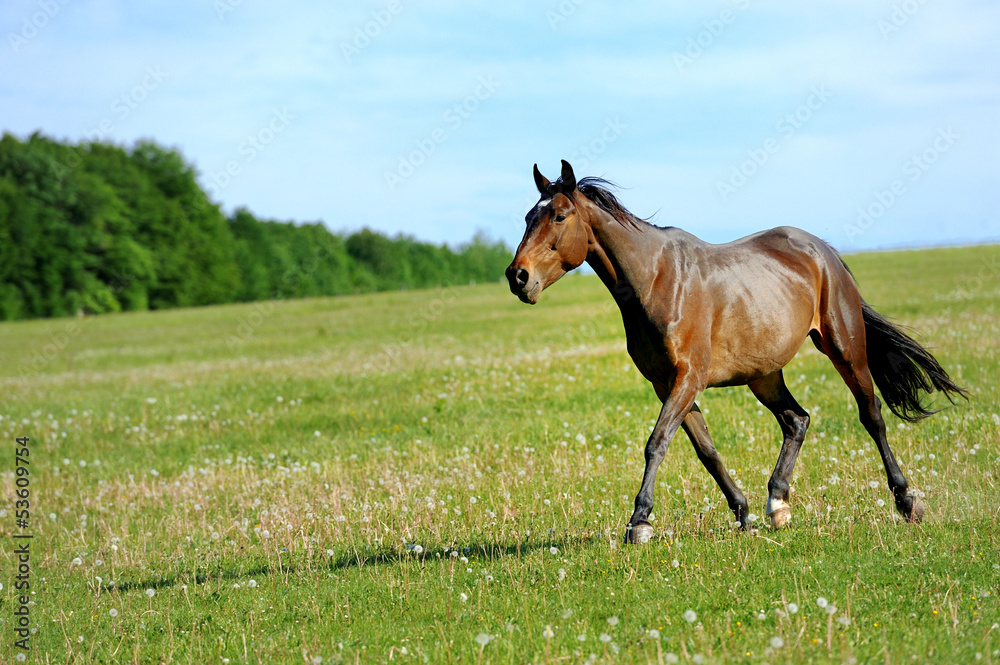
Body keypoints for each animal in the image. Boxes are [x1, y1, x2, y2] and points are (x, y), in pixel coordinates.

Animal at [504, 158, 964, 544]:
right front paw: (743, 513)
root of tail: (824, 252)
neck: (657, 280)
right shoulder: (667, 384)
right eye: (528, 217)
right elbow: (705, 451)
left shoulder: (688, 378)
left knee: (871, 416)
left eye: (559, 215)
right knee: (797, 420)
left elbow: (657, 442)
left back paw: (906, 501)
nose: (517, 277)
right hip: (764, 375)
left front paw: (640, 522)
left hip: (845, 349)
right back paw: (778, 504)